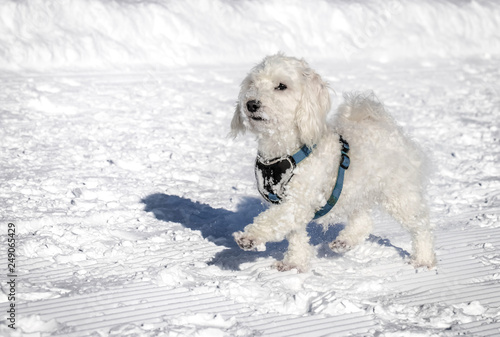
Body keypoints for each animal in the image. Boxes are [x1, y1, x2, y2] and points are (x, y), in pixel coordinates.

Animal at [232, 53, 436, 272]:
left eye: (281, 86)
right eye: (252, 83)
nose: (251, 104)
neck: (285, 149)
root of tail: (386, 125)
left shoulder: (298, 201)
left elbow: (273, 220)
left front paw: (249, 237)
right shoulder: (289, 203)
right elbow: (295, 235)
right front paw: (294, 263)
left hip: (398, 193)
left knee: (420, 225)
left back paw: (424, 259)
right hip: (358, 191)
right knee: (364, 221)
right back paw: (344, 241)